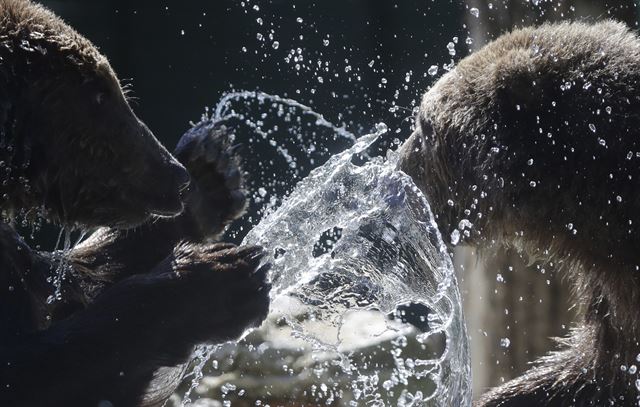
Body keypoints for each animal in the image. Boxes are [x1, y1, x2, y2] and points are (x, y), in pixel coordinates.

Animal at [0, 0, 270, 407]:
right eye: (100, 97)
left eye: (116, 89)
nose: (176, 176)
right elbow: (34, 369)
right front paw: (219, 277)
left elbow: (64, 286)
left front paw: (209, 174)